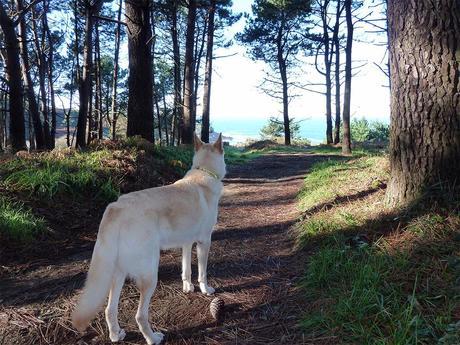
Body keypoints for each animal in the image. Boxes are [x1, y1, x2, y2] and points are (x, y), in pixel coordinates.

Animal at [71, 133, 226, 342]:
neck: (204, 173)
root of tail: (116, 208)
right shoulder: (204, 242)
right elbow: (202, 272)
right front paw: (205, 290)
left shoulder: (186, 242)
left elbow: (186, 269)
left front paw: (187, 287)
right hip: (150, 276)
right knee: (140, 316)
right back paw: (153, 338)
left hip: (117, 274)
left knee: (109, 310)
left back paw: (116, 335)